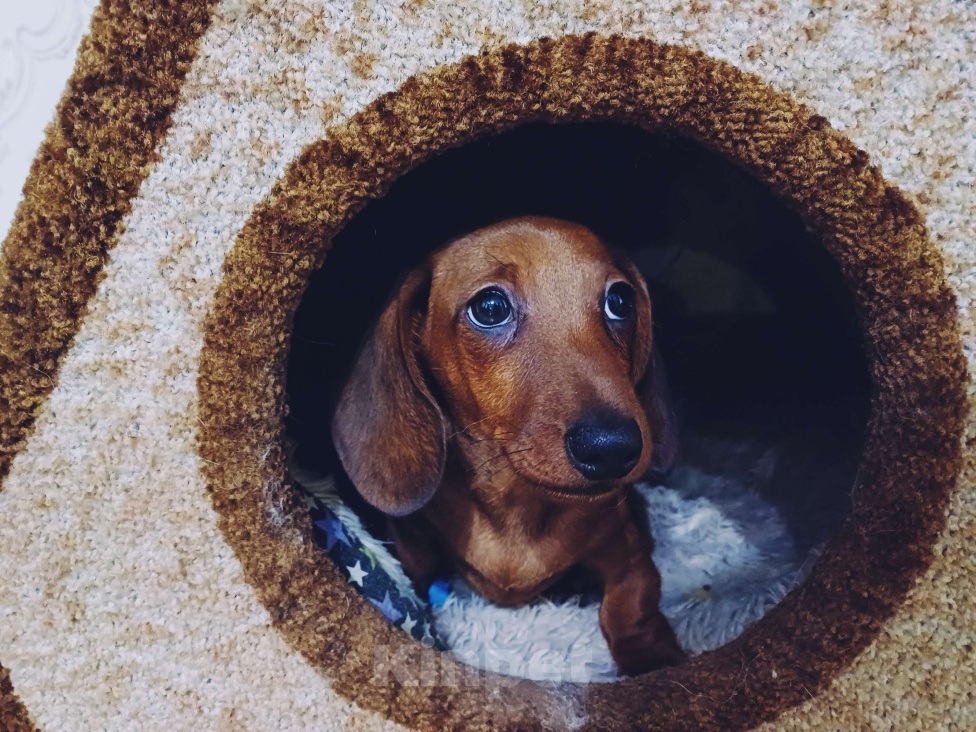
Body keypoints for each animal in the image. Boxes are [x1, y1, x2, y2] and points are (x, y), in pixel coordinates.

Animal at [336, 216, 688, 676]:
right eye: (490, 308)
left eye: (620, 301)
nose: (612, 448)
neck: (516, 506)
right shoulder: (409, 536)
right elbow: (412, 574)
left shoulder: (628, 554)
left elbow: (631, 605)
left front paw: (654, 662)